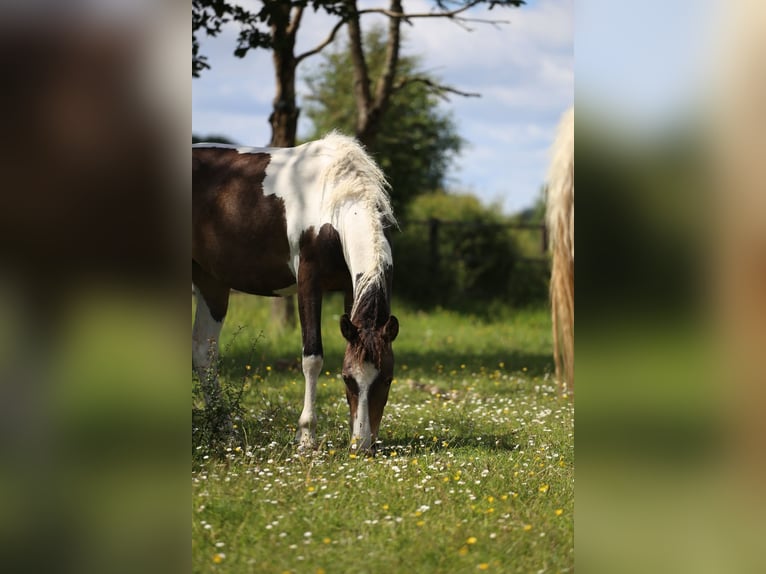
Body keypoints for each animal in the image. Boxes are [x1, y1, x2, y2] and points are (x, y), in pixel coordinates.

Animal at [192, 132, 399, 452]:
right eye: (347, 378)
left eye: (387, 379)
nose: (362, 444)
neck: (335, 200)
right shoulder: (308, 283)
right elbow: (312, 357)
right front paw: (306, 436)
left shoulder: (350, 290)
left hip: (210, 282)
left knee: (203, 352)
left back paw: (225, 431)